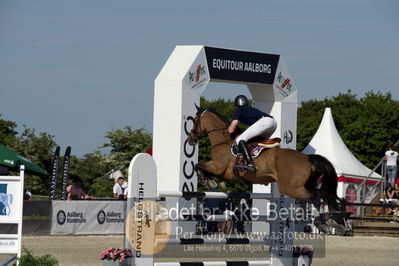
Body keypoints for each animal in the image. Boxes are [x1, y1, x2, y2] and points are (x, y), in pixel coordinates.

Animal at [189, 107, 342, 211]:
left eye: (195, 121)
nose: (190, 139)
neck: (223, 140)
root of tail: (306, 158)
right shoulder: (220, 170)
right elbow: (201, 168)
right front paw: (213, 182)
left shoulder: (218, 167)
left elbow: (198, 165)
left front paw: (208, 181)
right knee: (322, 195)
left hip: (291, 188)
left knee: (316, 197)